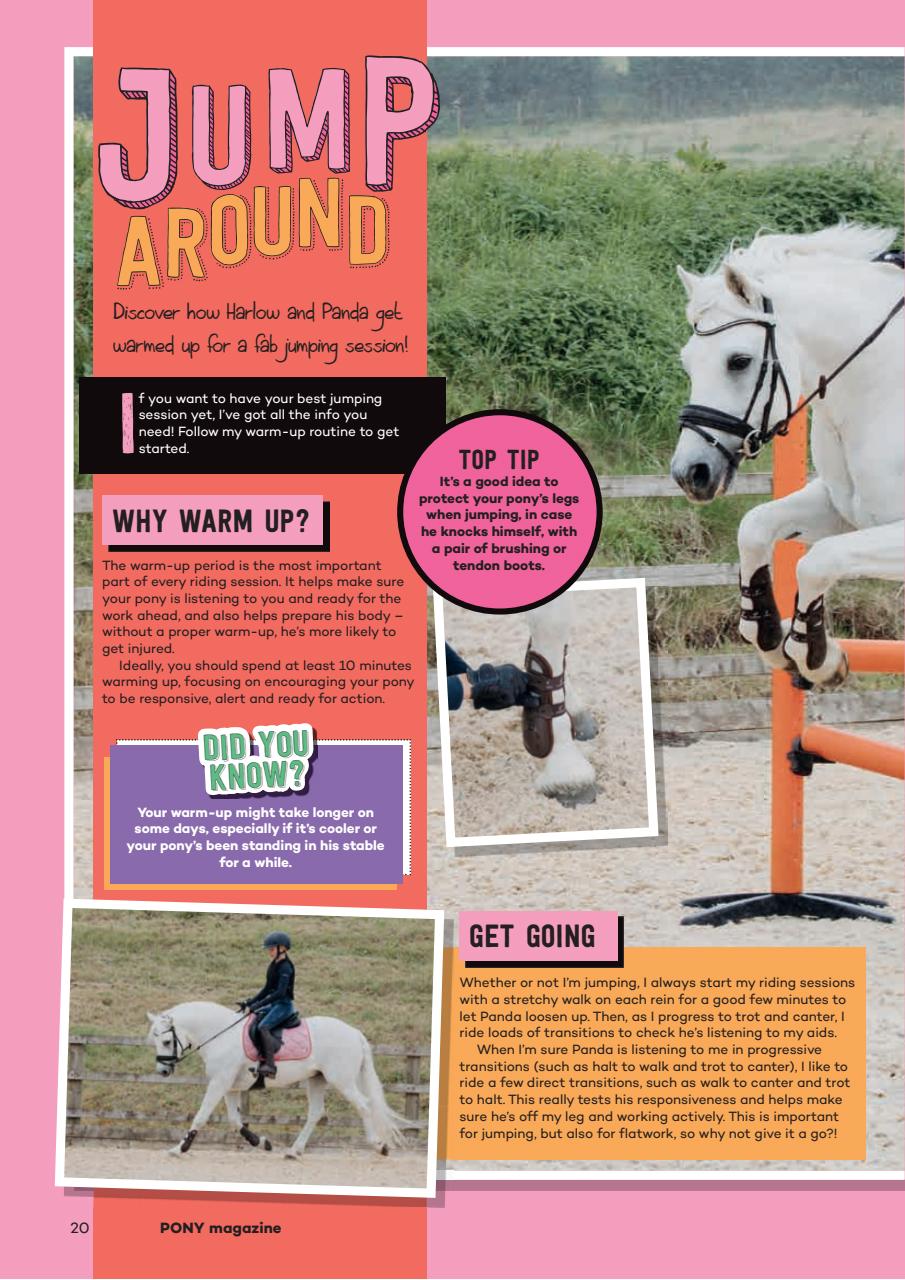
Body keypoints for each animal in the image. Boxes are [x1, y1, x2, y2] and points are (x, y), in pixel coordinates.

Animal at [146, 1003, 411, 1160]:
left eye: (167, 1041)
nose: (163, 1071)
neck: (221, 1034)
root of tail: (354, 1033)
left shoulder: (220, 1082)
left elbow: (201, 1116)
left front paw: (179, 1148)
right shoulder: (230, 1085)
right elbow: (234, 1120)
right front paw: (262, 1142)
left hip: (342, 1080)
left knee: (364, 1106)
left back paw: (378, 1145)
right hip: (317, 1080)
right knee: (316, 1113)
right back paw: (294, 1150)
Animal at [670, 223, 904, 685]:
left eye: (739, 361)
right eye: (688, 364)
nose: (691, 473)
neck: (883, 388)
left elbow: (818, 560)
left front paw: (815, 654)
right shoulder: (842, 508)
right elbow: (754, 526)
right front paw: (769, 634)